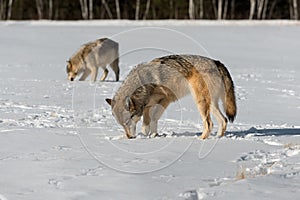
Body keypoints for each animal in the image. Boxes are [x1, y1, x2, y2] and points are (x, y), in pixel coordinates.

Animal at [105, 54, 237, 140]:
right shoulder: (147, 105)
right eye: (122, 125)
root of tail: (216, 62)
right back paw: (218, 137)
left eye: (127, 122)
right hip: (211, 104)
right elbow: (147, 120)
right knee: (224, 120)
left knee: (209, 124)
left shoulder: (166, 100)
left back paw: (200, 139)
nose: (130, 138)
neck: (143, 83)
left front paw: (150, 134)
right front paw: (151, 134)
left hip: (201, 102)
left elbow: (153, 118)